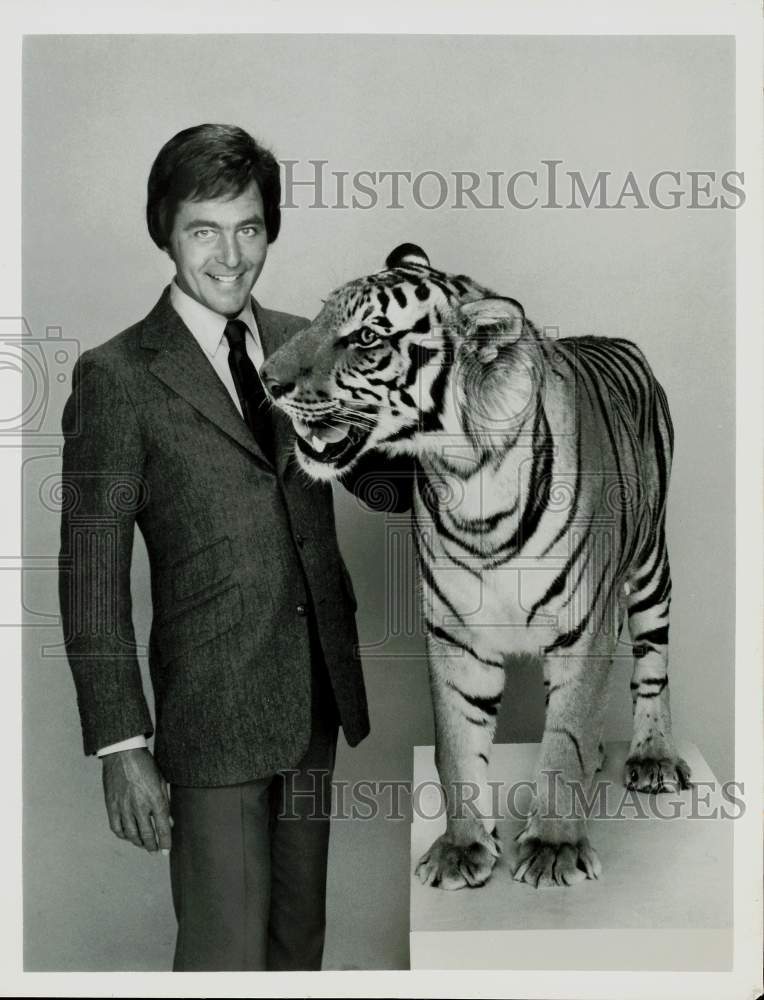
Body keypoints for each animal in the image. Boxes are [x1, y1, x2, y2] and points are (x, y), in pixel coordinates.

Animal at [258, 242, 692, 892]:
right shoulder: (455, 633)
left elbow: (563, 739)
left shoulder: (583, 629)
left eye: (366, 337)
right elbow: (457, 745)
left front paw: (555, 847)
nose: (267, 377)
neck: (469, 475)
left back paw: (653, 757)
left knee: (652, 666)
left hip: (649, 570)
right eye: (320, 315)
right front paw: (462, 848)